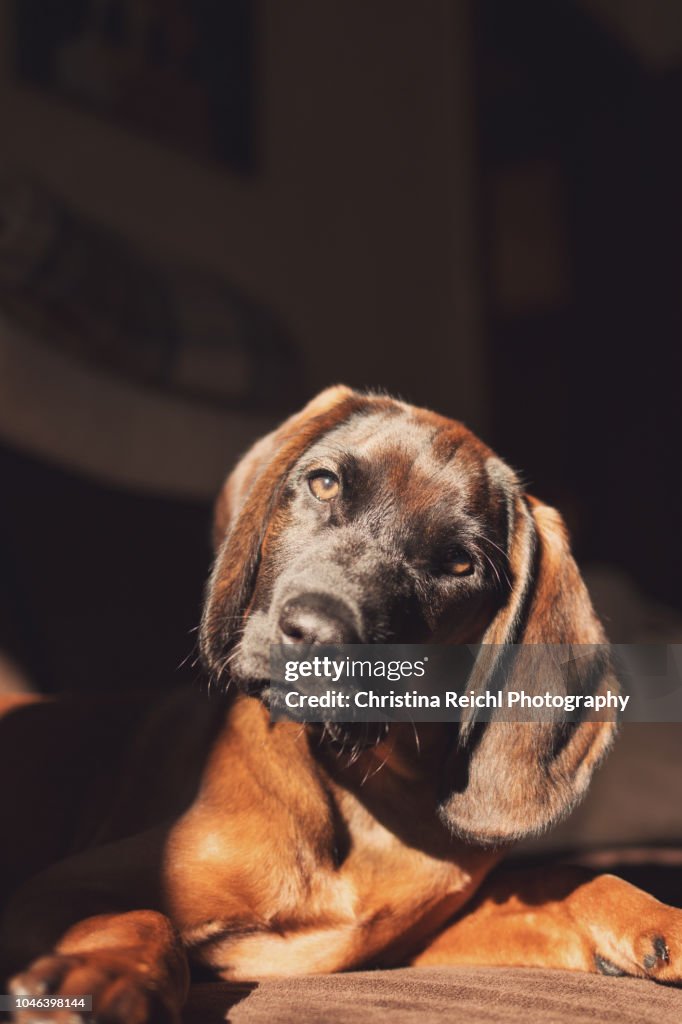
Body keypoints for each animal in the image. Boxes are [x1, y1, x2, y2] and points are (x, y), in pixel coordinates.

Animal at [1, 385, 679, 1024]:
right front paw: (103, 978)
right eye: (323, 483)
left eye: (460, 563)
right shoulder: (54, 889)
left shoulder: (413, 943)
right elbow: (144, 917)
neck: (365, 792)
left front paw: (661, 921)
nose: (317, 634)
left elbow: (563, 876)